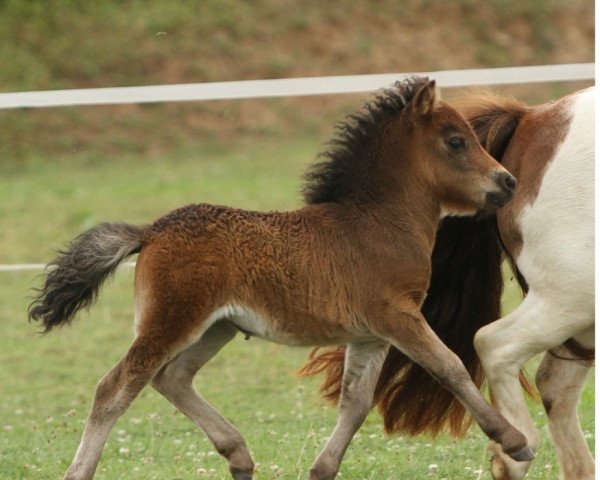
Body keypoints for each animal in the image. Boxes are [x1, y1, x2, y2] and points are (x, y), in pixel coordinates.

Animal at [302, 87, 592, 480]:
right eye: (455, 142)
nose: (506, 183)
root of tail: (532, 119)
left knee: (554, 385)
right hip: (569, 298)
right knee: (496, 346)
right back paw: (515, 446)